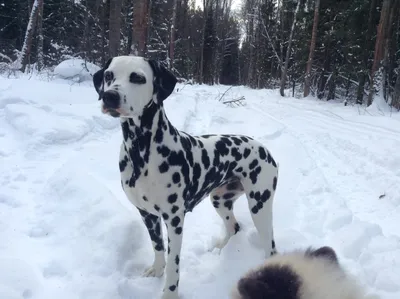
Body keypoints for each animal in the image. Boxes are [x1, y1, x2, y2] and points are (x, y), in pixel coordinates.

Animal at [92, 56, 280, 299]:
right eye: (109, 75)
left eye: (138, 77)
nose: (110, 96)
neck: (141, 151)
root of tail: (265, 150)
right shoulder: (147, 215)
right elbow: (158, 247)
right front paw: (156, 270)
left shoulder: (174, 220)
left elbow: (174, 263)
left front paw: (169, 293)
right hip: (220, 200)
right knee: (234, 227)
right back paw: (221, 249)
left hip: (260, 206)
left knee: (271, 247)